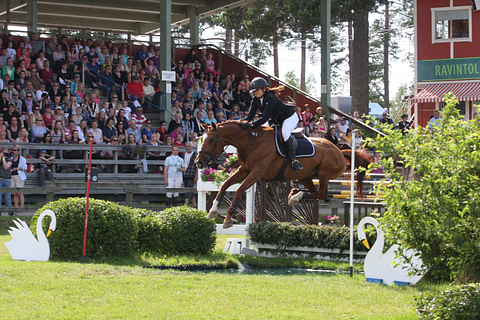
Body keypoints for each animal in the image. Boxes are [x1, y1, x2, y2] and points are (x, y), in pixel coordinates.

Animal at [195, 121, 372, 229]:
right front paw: (212, 211)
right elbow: (225, 185)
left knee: (322, 194)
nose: (198, 163)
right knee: (315, 192)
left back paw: (295, 197)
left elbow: (238, 190)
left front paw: (227, 220)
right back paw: (294, 194)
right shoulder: (244, 170)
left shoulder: (256, 173)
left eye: (211, 140)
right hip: (305, 176)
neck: (251, 142)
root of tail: (340, 151)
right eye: (202, 139)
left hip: (323, 175)